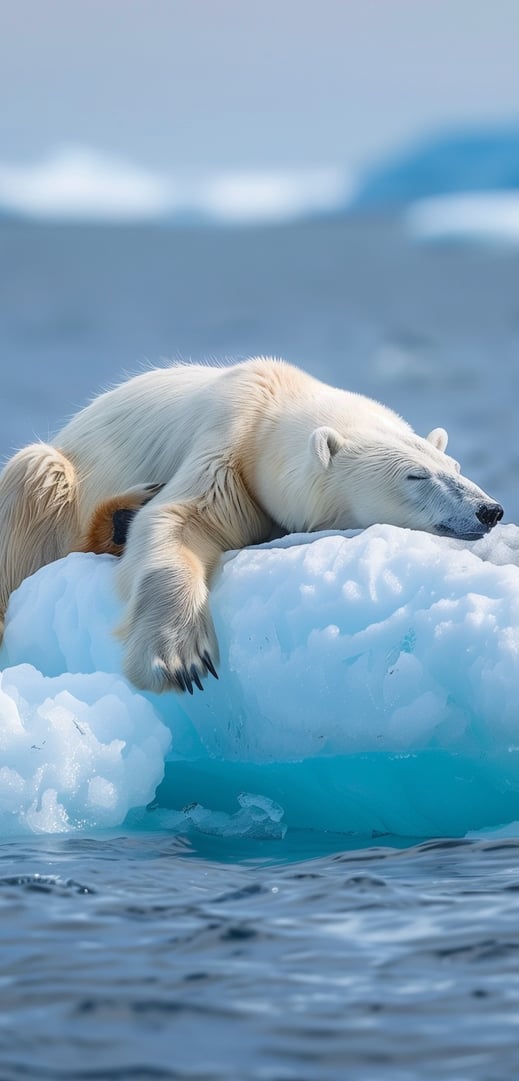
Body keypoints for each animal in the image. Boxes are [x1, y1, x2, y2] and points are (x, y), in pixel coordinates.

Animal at [0, 354, 503, 691]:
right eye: (415, 475)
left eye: (454, 466)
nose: (490, 510)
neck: (272, 402)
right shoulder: (226, 447)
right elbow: (180, 519)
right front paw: (180, 657)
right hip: (56, 477)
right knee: (35, 476)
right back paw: (118, 518)